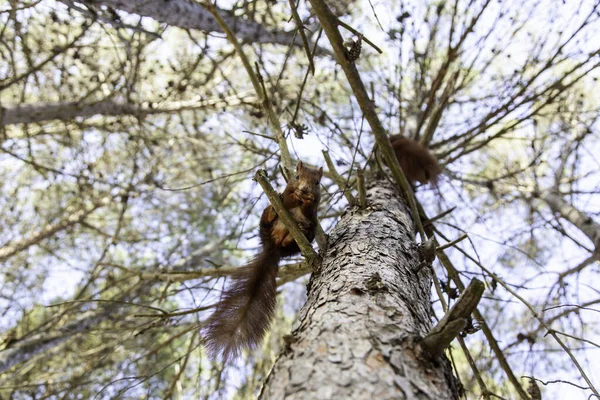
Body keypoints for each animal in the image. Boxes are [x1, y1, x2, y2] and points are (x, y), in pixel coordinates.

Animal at [203, 161, 324, 360]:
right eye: (297, 177)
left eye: (317, 183)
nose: (305, 189)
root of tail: (274, 245)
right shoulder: (289, 193)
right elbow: (288, 198)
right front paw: (292, 195)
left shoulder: (314, 208)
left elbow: (309, 209)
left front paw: (307, 198)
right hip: (266, 221)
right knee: (269, 216)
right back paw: (273, 211)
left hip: (305, 236)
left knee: (302, 232)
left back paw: (299, 229)